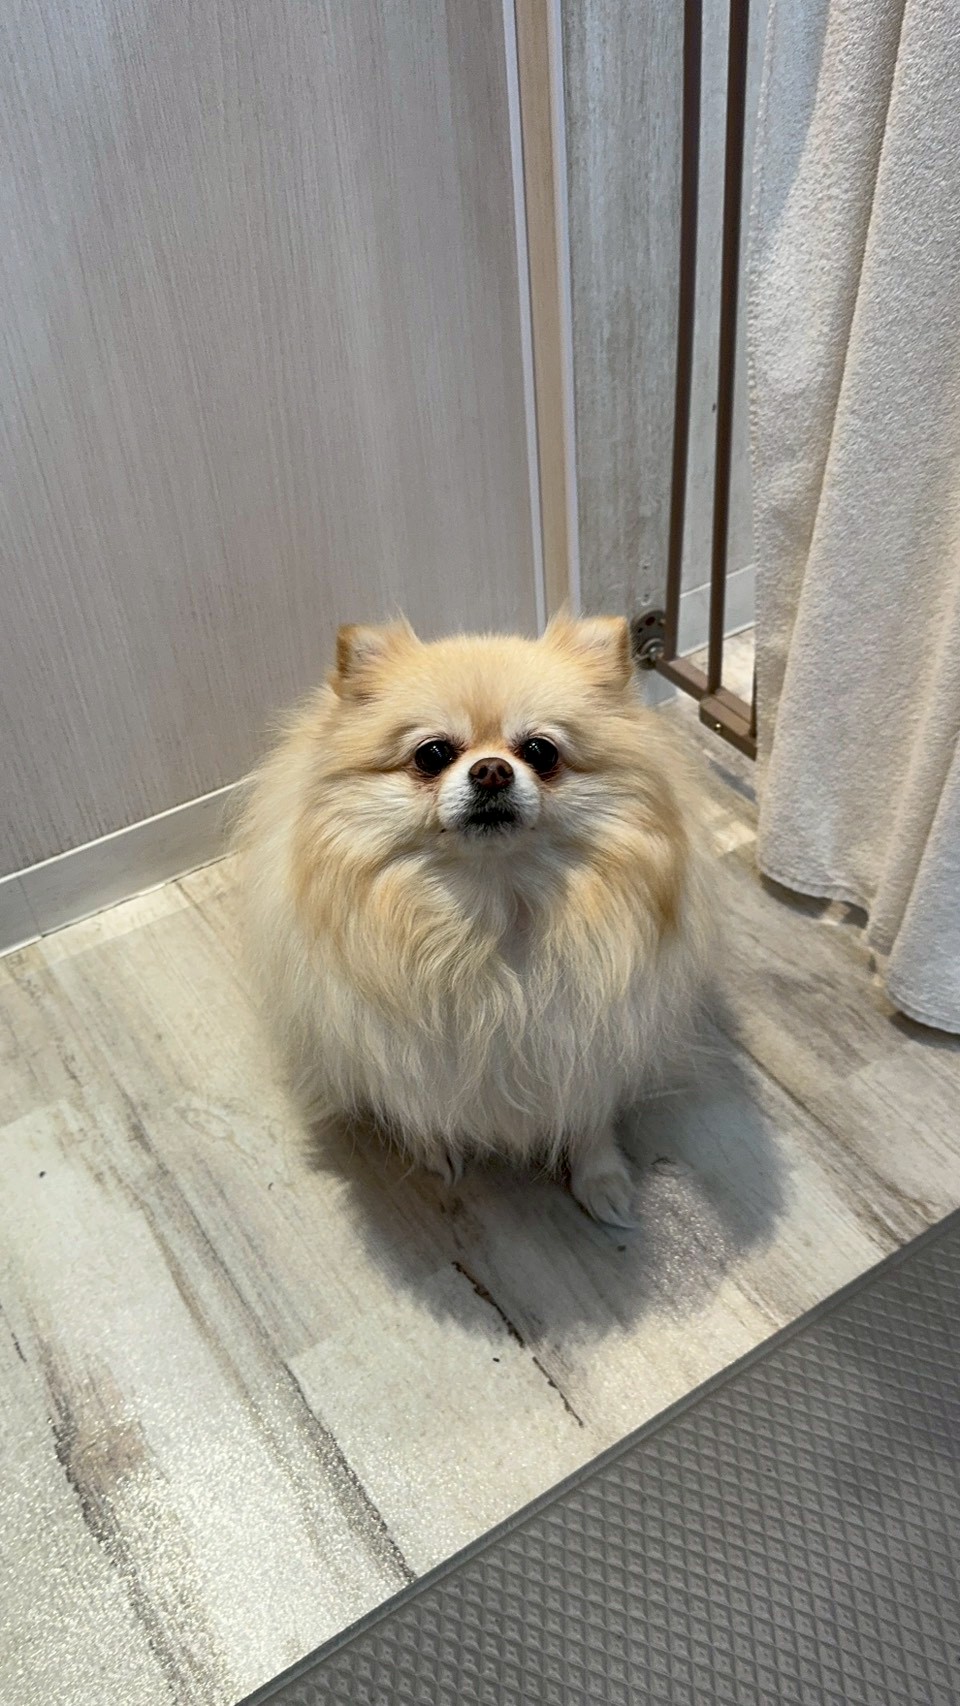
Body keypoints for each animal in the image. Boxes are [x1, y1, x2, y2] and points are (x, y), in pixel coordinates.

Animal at [239, 614, 714, 1227]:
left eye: (540, 751)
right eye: (433, 754)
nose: (491, 771)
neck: (493, 907)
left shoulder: (588, 1035)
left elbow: (589, 1114)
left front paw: (601, 1178)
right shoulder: (407, 1048)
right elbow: (420, 1101)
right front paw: (433, 1149)